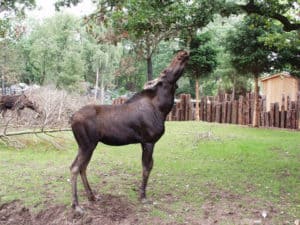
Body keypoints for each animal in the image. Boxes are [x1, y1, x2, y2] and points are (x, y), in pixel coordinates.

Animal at [69, 49, 189, 213]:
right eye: (164, 71)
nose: (181, 54)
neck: (162, 109)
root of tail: (71, 118)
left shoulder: (146, 142)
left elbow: (149, 166)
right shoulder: (148, 141)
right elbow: (146, 167)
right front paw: (143, 196)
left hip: (86, 145)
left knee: (81, 167)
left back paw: (92, 197)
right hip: (87, 144)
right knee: (75, 167)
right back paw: (76, 205)